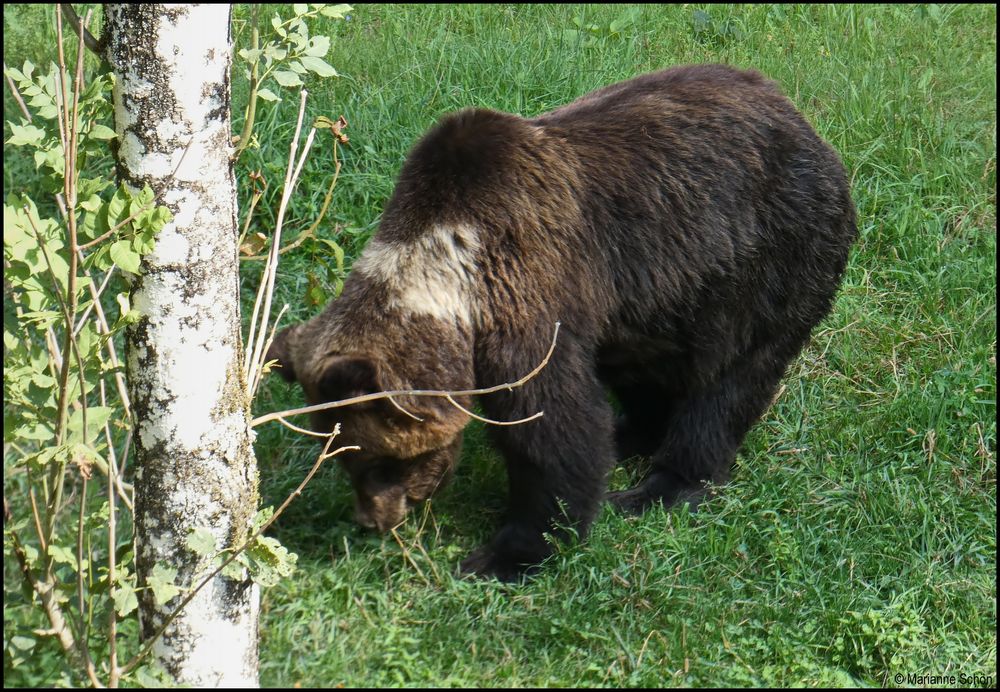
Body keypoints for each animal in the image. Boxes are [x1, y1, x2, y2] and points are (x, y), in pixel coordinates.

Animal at [268, 65, 860, 580]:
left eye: (375, 459)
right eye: (341, 461)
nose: (374, 520)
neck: (454, 266)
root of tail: (804, 121)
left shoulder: (528, 294)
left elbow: (551, 427)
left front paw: (508, 554)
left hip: (773, 257)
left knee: (727, 381)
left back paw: (661, 485)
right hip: (667, 299)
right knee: (646, 367)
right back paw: (630, 432)